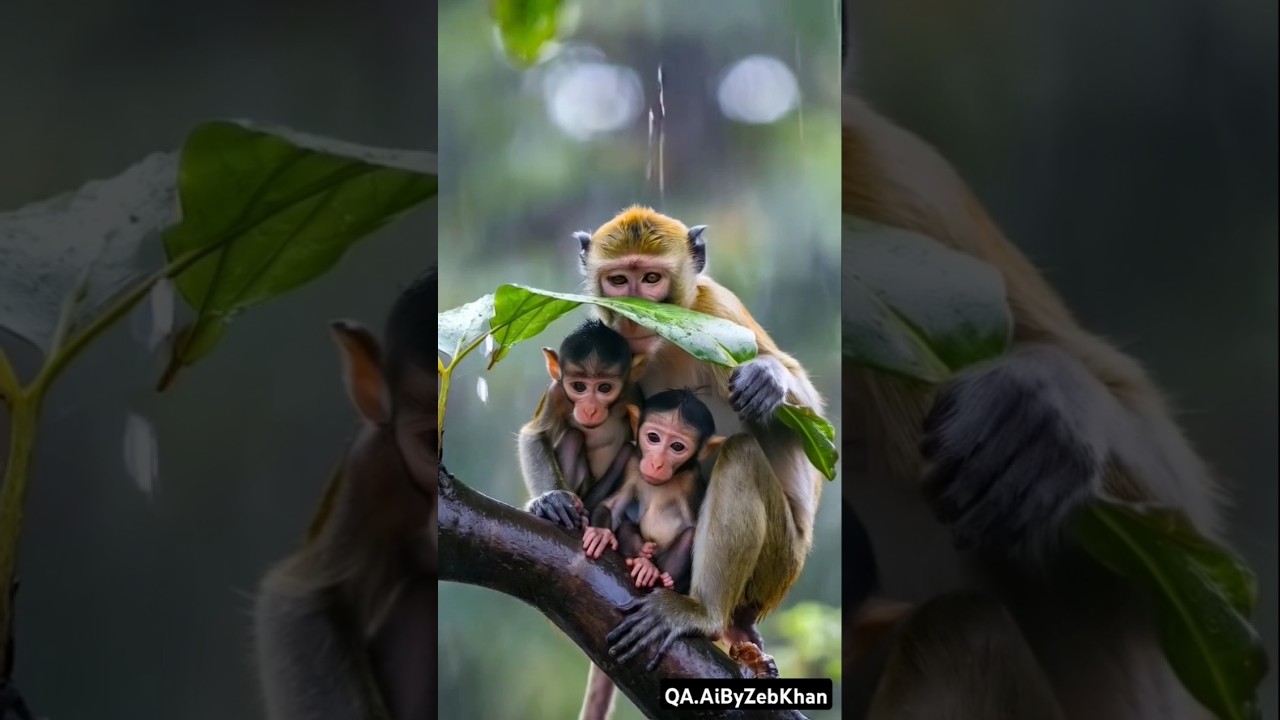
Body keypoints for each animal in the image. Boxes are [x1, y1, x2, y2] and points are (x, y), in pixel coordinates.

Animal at [582, 388, 725, 595]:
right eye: (653, 437)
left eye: (677, 446)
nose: (657, 463)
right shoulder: (633, 465)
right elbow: (612, 504)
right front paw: (601, 533)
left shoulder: (691, 481)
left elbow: (694, 528)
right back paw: (642, 555)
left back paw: (649, 568)